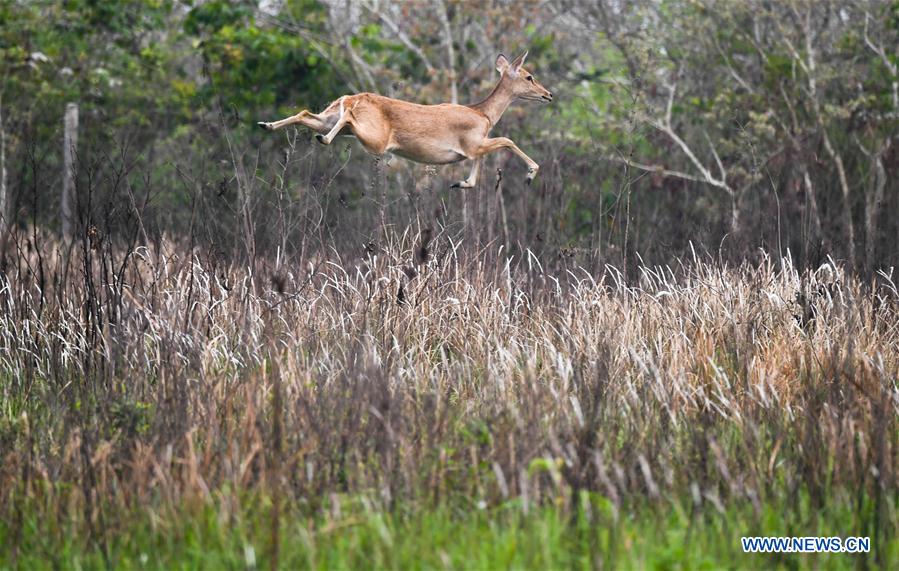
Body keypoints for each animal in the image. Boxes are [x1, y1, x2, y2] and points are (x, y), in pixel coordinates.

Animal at [256, 51, 552, 188]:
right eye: (529, 76)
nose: (548, 94)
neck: (484, 115)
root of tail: (351, 98)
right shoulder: (473, 143)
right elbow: (507, 140)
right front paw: (530, 174)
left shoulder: (474, 148)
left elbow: (476, 174)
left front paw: (460, 183)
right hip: (374, 137)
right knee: (346, 117)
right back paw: (322, 139)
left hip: (331, 117)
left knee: (306, 113)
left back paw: (267, 125)